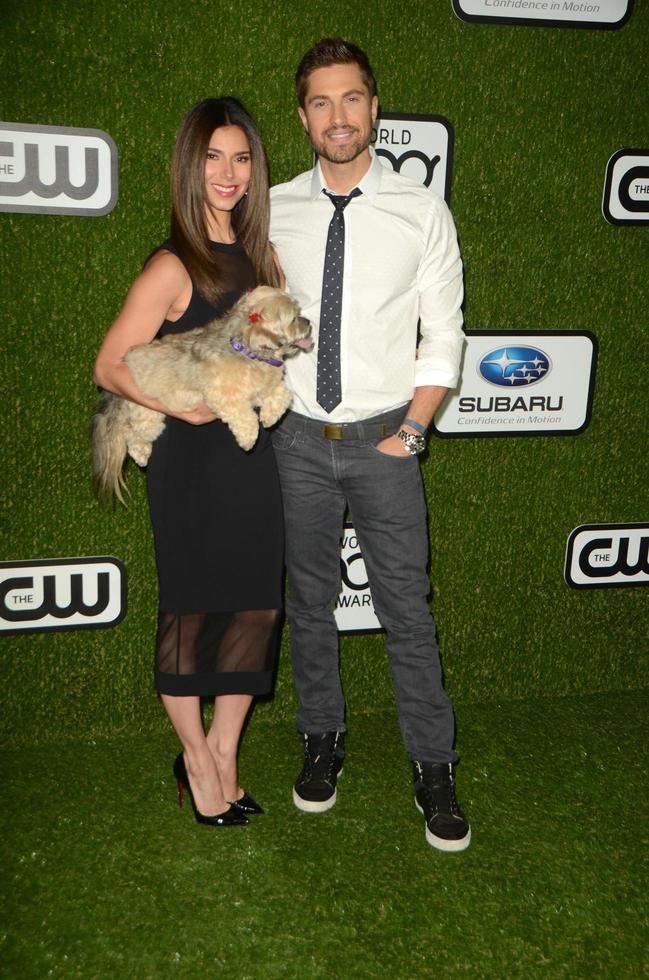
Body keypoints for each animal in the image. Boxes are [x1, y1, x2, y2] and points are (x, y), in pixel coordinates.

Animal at [91, 282, 312, 498]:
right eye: (293, 319)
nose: (308, 322)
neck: (247, 353)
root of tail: (126, 361)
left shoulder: (264, 389)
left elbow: (284, 395)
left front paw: (269, 417)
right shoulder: (224, 396)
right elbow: (245, 418)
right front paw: (249, 438)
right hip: (147, 416)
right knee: (130, 435)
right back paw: (142, 454)